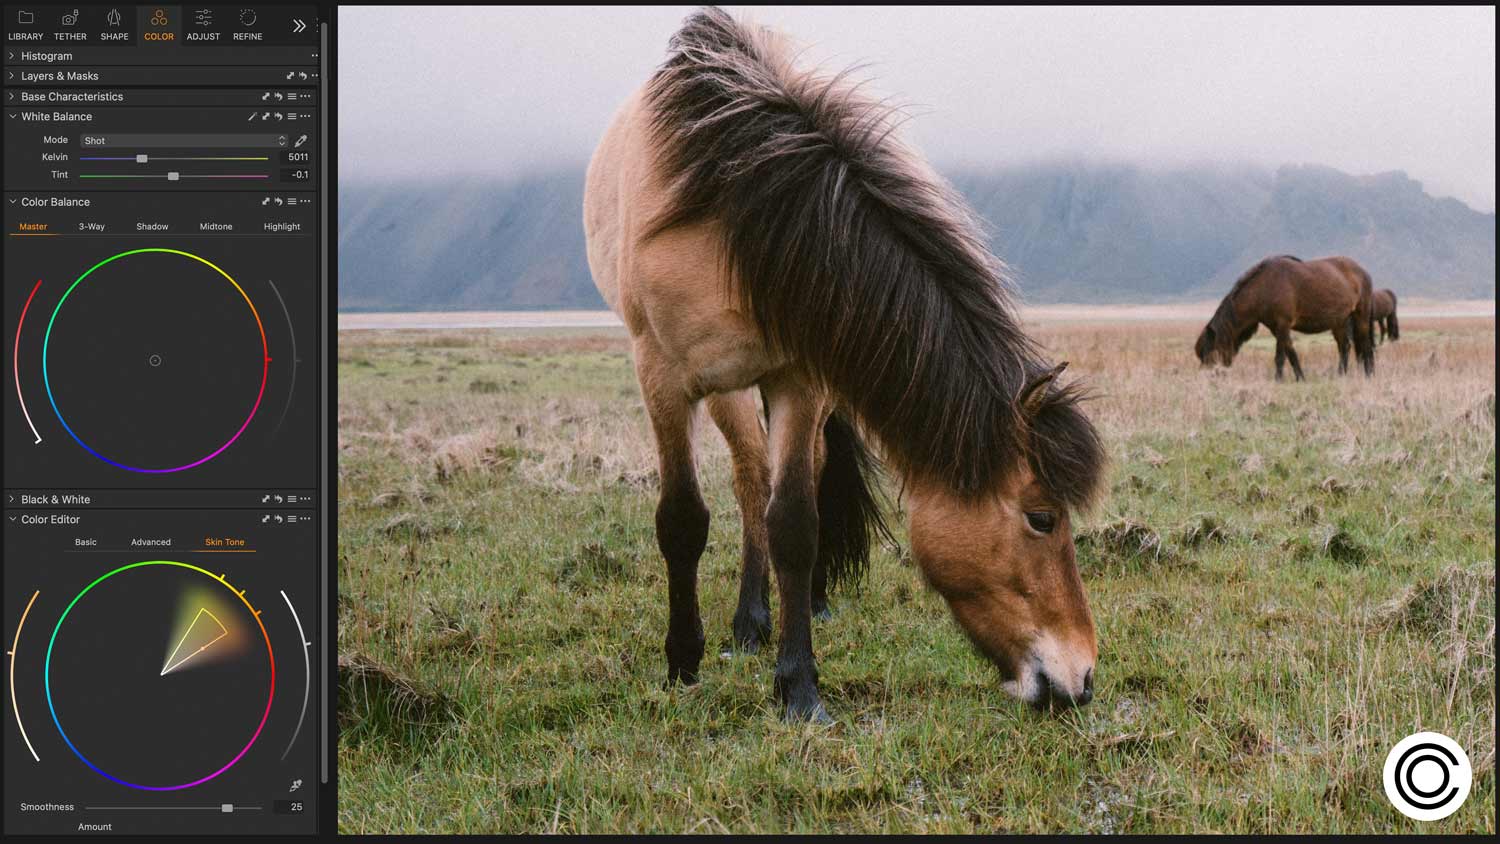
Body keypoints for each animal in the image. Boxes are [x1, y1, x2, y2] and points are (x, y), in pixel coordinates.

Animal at [583, 7, 1106, 721]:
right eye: (1042, 517)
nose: (1082, 678)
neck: (740, 211)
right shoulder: (661, 376)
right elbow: (683, 518)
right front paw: (683, 663)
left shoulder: (801, 376)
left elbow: (795, 522)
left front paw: (799, 686)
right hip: (721, 387)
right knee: (748, 480)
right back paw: (748, 623)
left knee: (787, 481)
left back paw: (803, 605)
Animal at [1194, 255, 1375, 381]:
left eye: (1209, 352)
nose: (1208, 377)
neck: (1265, 288)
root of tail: (1362, 271)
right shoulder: (1277, 329)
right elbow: (1291, 354)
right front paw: (1300, 377)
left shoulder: (1283, 325)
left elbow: (1280, 357)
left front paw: (1278, 379)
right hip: (1338, 321)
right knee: (1344, 346)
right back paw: (1340, 375)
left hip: (1360, 316)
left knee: (1365, 345)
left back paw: (1369, 374)